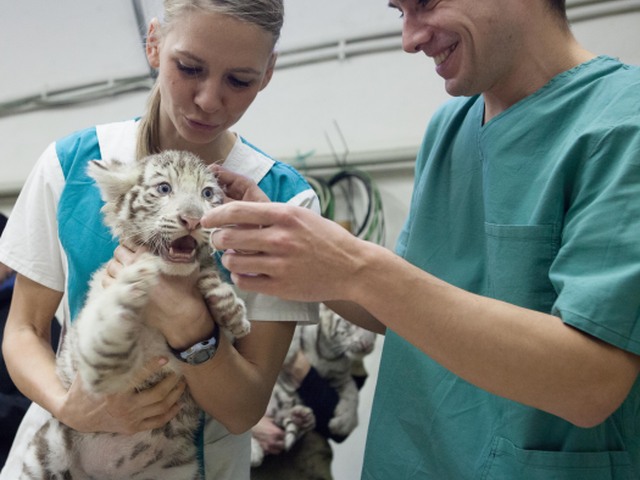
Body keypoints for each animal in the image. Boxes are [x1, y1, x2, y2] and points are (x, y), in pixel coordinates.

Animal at [18, 150, 250, 480]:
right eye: (164, 188)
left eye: (207, 193)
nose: (193, 219)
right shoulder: (98, 374)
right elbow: (103, 338)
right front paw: (133, 279)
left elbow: (218, 312)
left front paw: (230, 309)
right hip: (47, 447)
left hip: (180, 469)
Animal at [250, 304, 377, 467]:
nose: (367, 345)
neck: (329, 354)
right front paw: (289, 353)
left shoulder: (340, 378)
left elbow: (352, 392)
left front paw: (344, 423)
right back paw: (255, 453)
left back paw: (302, 418)